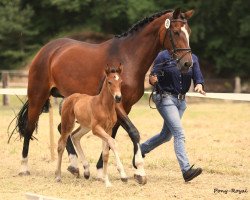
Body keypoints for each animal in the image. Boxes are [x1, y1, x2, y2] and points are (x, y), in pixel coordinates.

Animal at [15, 9, 194, 184]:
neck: (128, 57)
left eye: (189, 32)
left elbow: (110, 137)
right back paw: (24, 168)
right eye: (176, 32)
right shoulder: (118, 105)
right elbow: (133, 132)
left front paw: (101, 171)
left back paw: (75, 165)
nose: (187, 63)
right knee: (30, 128)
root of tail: (47, 50)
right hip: (38, 97)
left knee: (62, 129)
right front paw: (139, 171)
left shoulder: (124, 107)